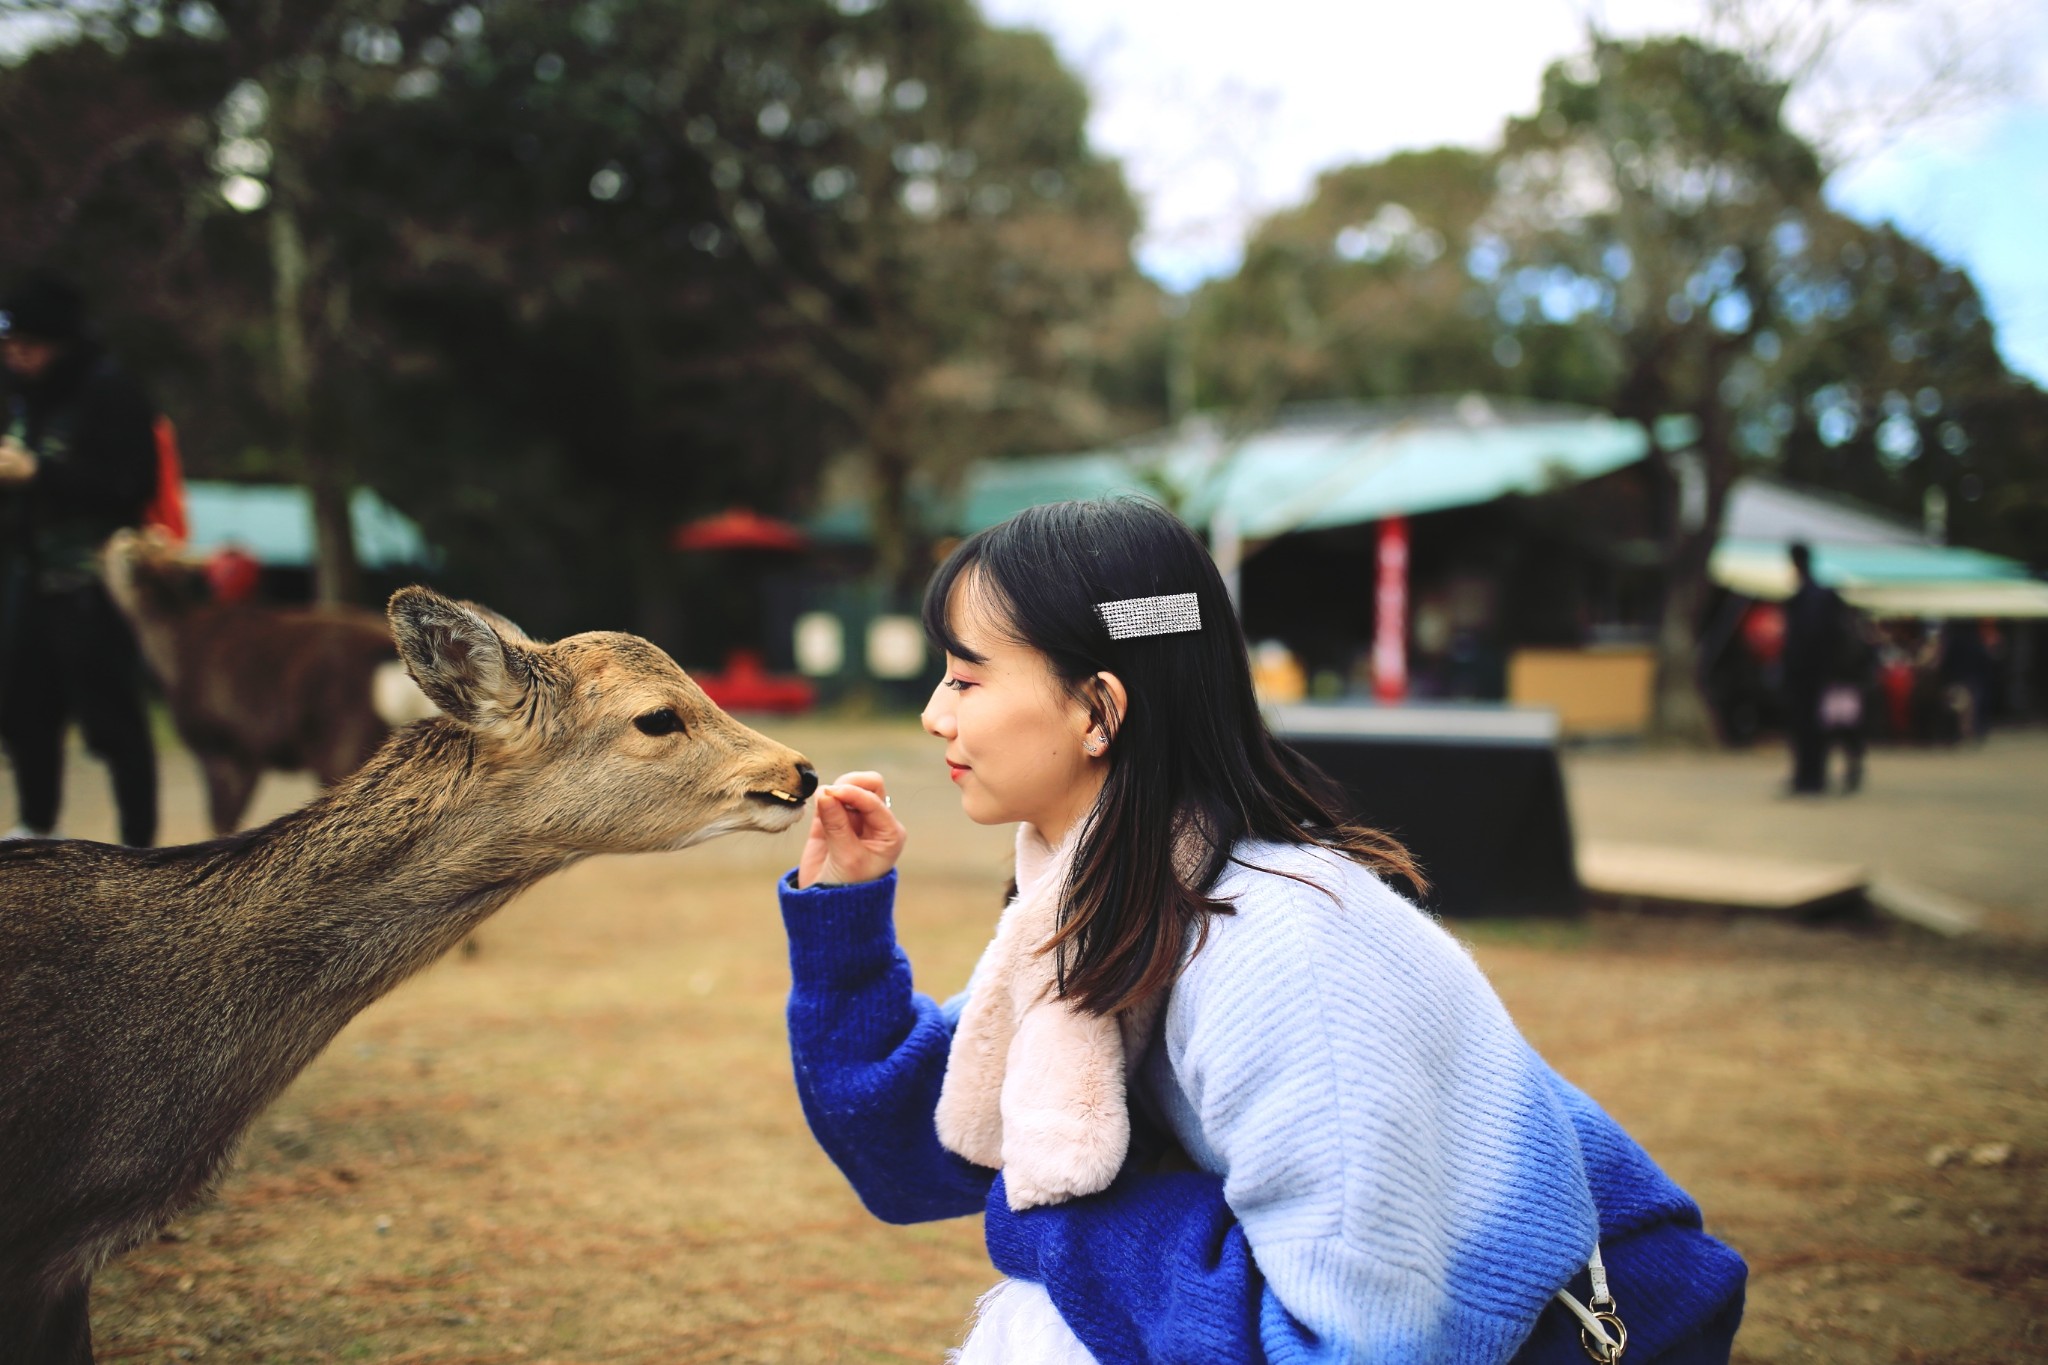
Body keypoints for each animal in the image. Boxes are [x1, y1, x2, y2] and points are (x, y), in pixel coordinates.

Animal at [99, 532, 440, 834]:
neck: (173, 652)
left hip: (343, 740)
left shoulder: (223, 743)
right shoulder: (248, 752)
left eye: (141, 544)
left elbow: (221, 820)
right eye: (121, 542)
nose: (128, 552)